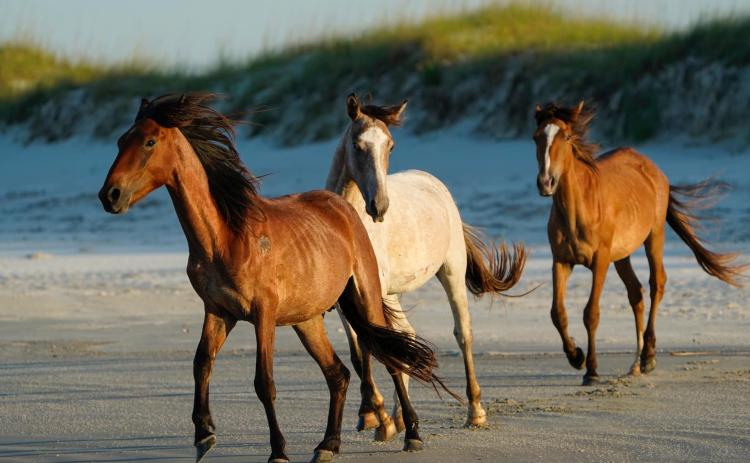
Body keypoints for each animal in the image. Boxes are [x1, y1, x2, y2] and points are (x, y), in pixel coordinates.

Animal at [98, 93, 450, 463]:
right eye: (121, 141)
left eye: (149, 142)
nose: (110, 195)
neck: (224, 237)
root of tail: (343, 207)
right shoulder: (218, 311)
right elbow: (201, 364)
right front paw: (204, 435)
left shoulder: (262, 314)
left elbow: (264, 382)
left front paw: (278, 451)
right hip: (307, 319)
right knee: (337, 374)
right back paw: (328, 445)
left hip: (366, 297)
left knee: (391, 361)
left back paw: (412, 434)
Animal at [326, 93, 527, 436]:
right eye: (357, 145)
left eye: (391, 146)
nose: (379, 206)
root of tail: (431, 180)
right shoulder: (344, 299)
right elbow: (358, 351)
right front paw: (373, 415)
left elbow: (370, 344)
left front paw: (378, 417)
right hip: (393, 293)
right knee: (406, 335)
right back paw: (398, 417)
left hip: (451, 272)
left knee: (463, 332)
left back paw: (475, 411)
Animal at [532, 101, 747, 385]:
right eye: (536, 137)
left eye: (566, 137)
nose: (546, 183)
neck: (578, 209)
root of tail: (653, 168)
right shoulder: (561, 261)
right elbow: (558, 313)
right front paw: (576, 356)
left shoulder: (600, 261)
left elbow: (591, 313)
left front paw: (591, 370)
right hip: (622, 255)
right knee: (636, 293)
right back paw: (635, 364)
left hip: (654, 237)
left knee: (657, 284)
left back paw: (648, 357)